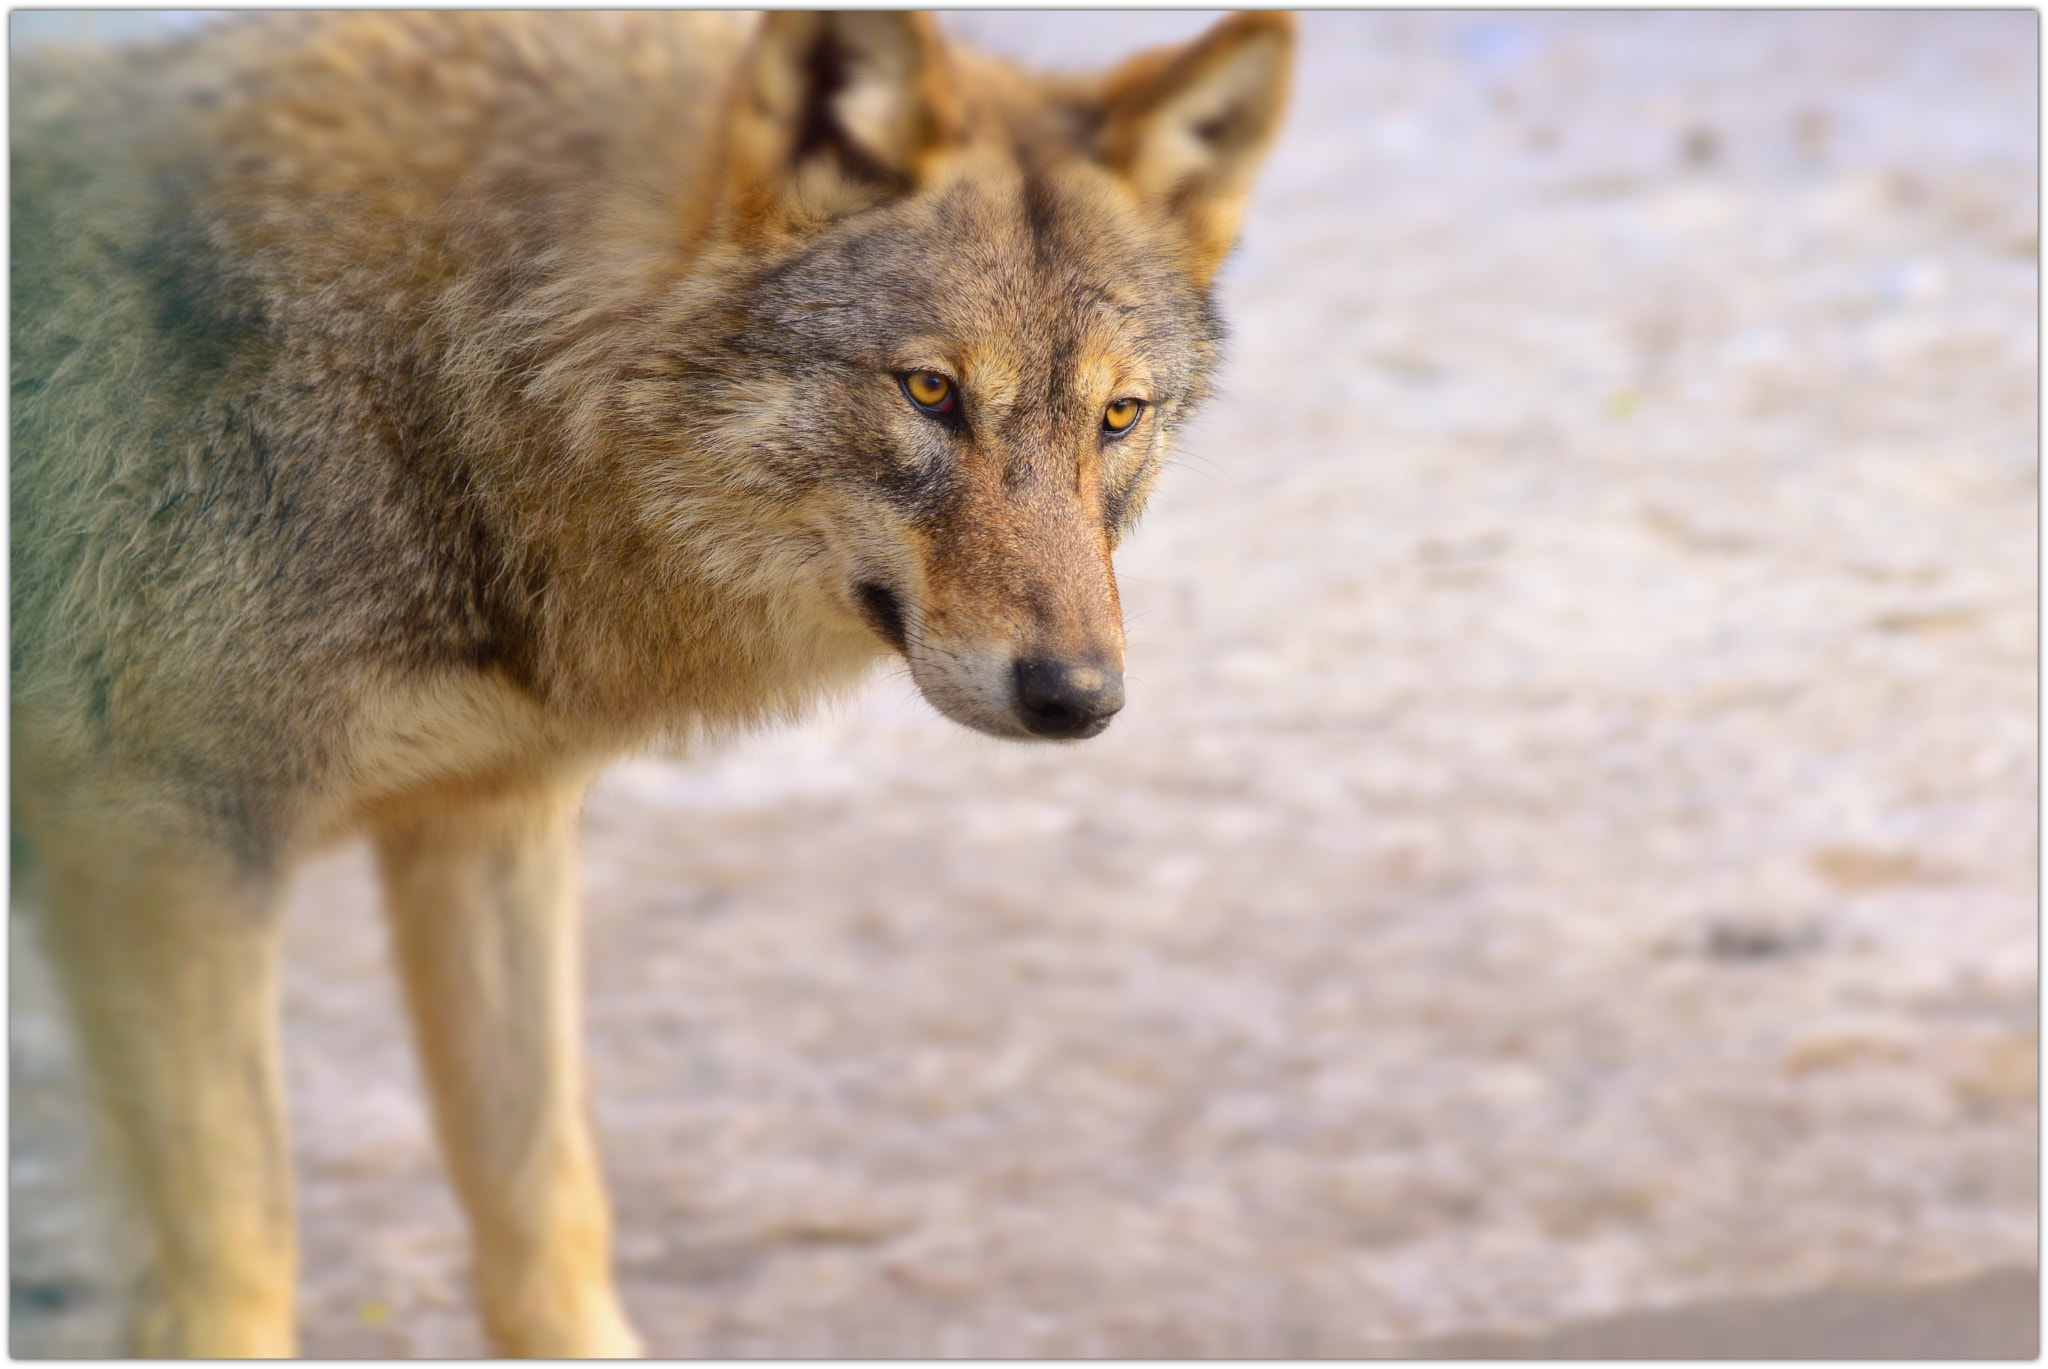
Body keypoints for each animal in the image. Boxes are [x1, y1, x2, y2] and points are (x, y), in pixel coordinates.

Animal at [11, 10, 1292, 1356]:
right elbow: (243, 1251)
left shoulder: (488, 822)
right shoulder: (164, 854)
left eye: (1116, 415)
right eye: (930, 390)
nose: (1076, 695)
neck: (432, 383)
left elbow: (544, 1199)